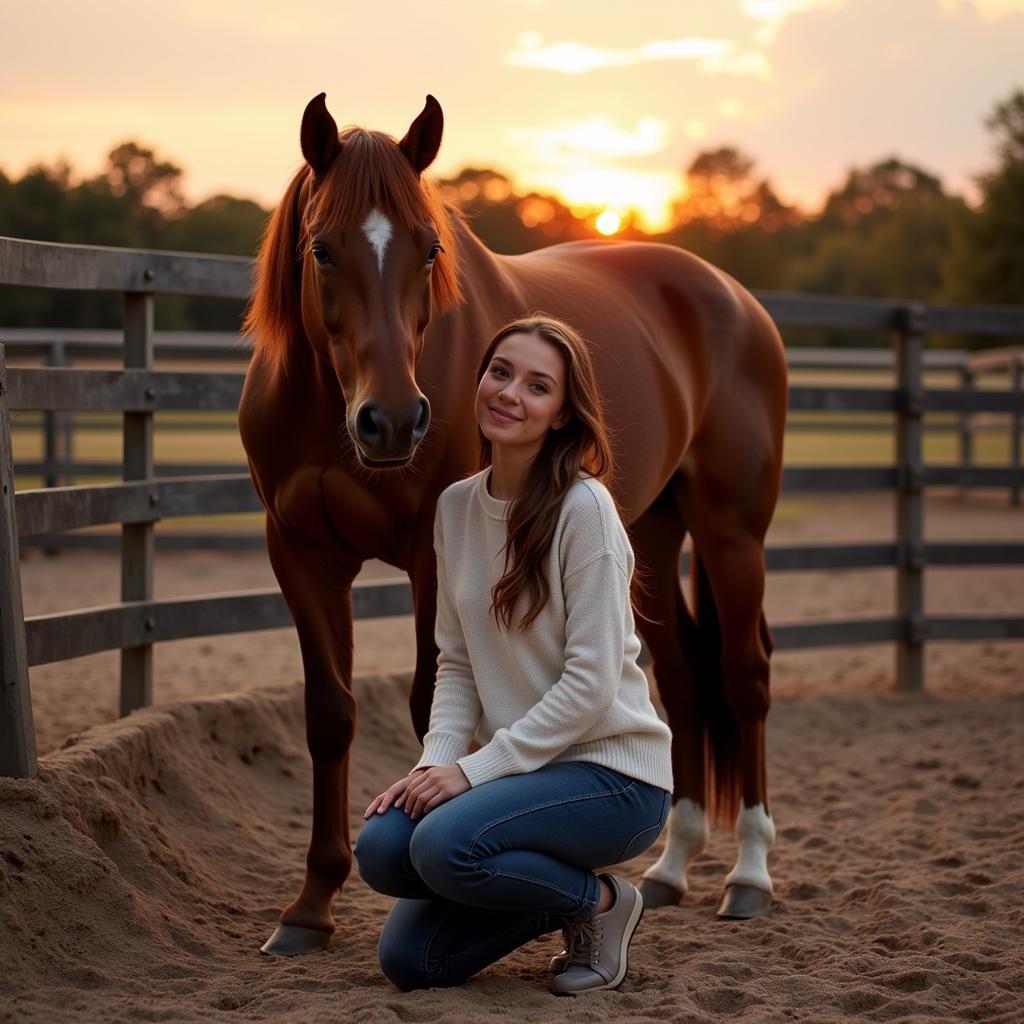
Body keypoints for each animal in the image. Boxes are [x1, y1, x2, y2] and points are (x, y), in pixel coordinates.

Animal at [239, 92, 782, 954]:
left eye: (429, 249)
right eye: (321, 249)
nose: (393, 421)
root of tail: (734, 296)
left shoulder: (432, 559)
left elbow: (429, 706)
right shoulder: (299, 554)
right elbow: (328, 714)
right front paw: (309, 907)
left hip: (733, 534)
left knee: (744, 673)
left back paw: (749, 875)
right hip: (651, 535)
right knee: (682, 675)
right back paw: (669, 869)